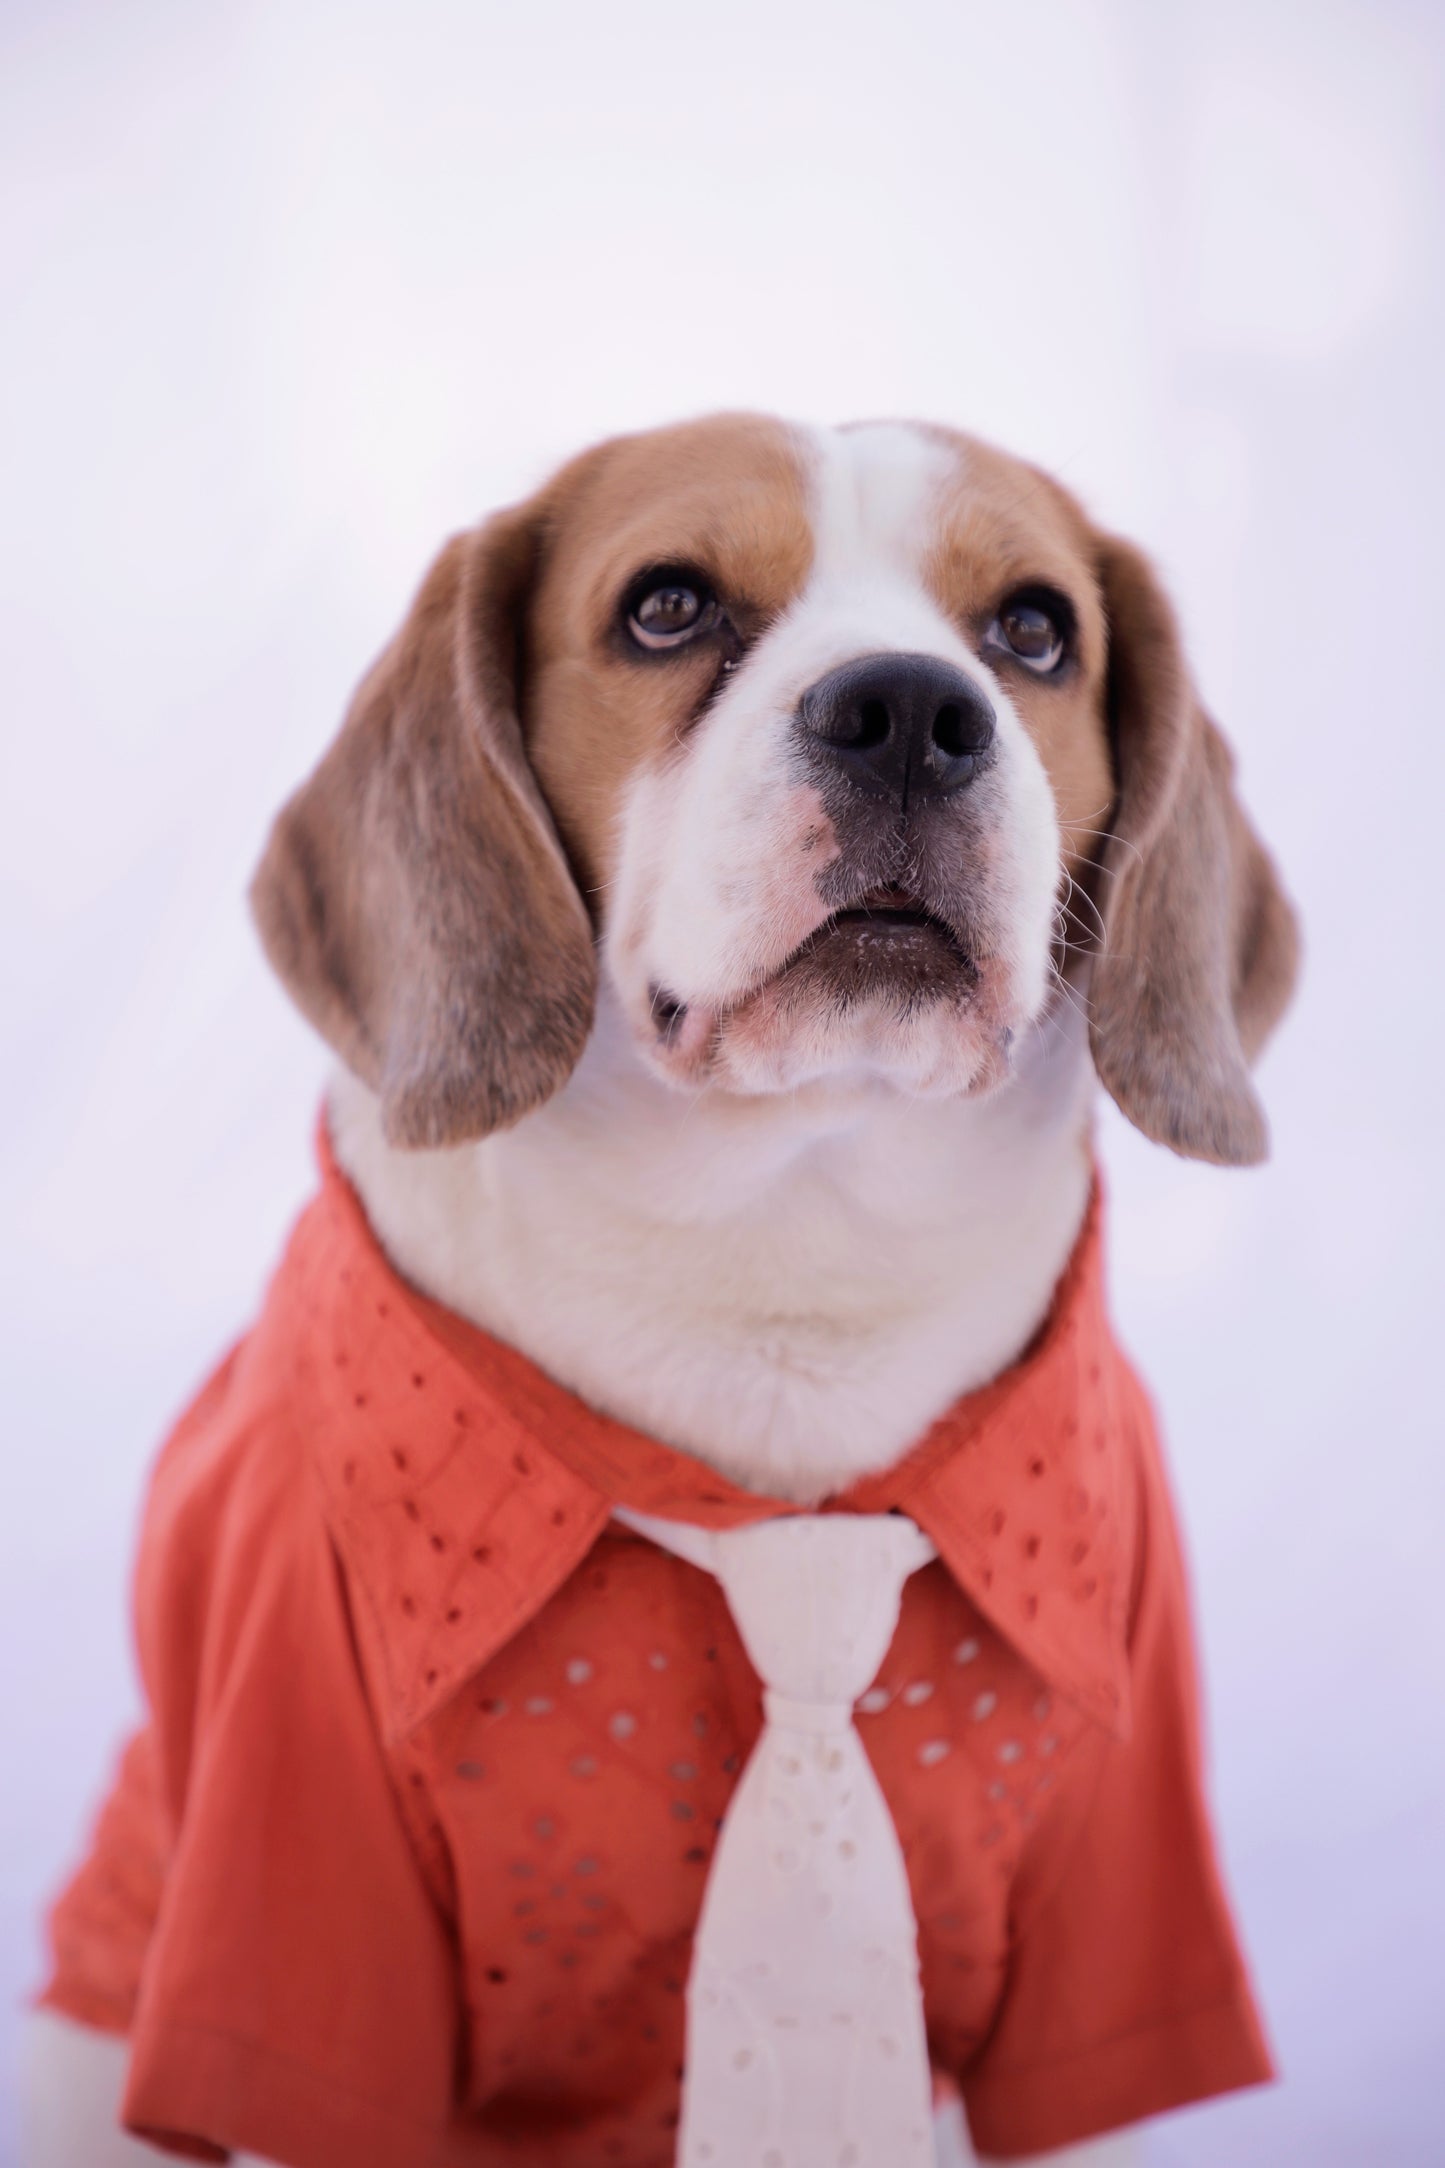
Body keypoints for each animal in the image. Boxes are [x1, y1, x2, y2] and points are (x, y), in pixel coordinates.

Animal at [31, 414, 1299, 2159]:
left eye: (1037, 630)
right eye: (668, 606)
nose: (910, 714)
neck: (785, 1271)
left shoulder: (1122, 1883)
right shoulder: (291, 1885)